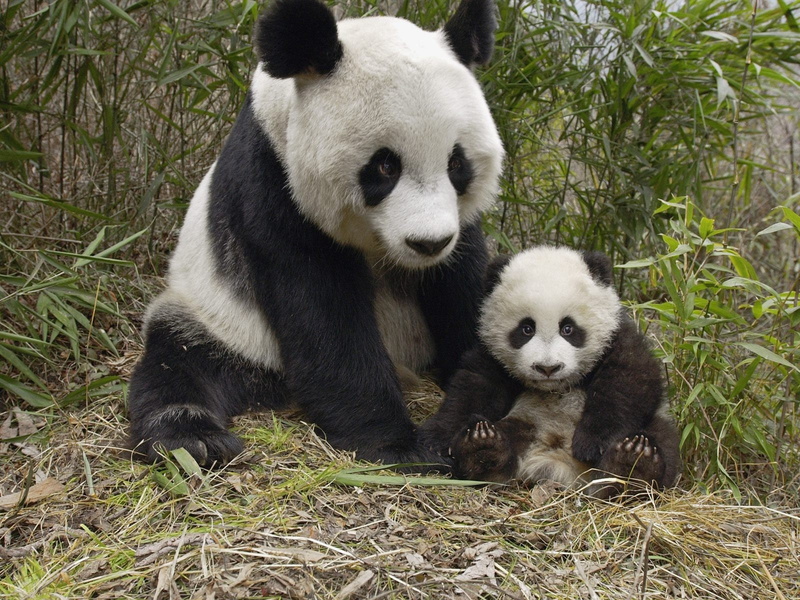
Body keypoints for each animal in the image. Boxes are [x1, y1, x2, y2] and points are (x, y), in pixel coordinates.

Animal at [126, 0, 504, 468]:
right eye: (385, 165)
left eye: (456, 164)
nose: (428, 243)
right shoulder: (273, 183)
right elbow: (322, 311)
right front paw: (401, 446)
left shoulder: (459, 228)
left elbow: (464, 286)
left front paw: (478, 420)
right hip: (219, 319)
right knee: (179, 361)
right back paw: (194, 438)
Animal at [419, 246, 681, 496]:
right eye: (526, 328)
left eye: (568, 328)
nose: (547, 368)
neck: (556, 388)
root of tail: (559, 465)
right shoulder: (491, 354)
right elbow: (474, 388)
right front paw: (435, 440)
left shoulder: (617, 336)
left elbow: (629, 380)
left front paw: (592, 443)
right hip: (526, 422)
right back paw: (483, 448)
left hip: (654, 427)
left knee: (662, 439)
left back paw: (633, 465)